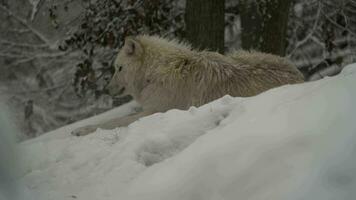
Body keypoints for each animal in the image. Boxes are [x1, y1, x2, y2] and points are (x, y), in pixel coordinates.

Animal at [71, 35, 304, 136]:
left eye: (119, 68)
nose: (106, 90)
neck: (155, 73)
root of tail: (299, 75)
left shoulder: (153, 112)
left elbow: (114, 121)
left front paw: (83, 129)